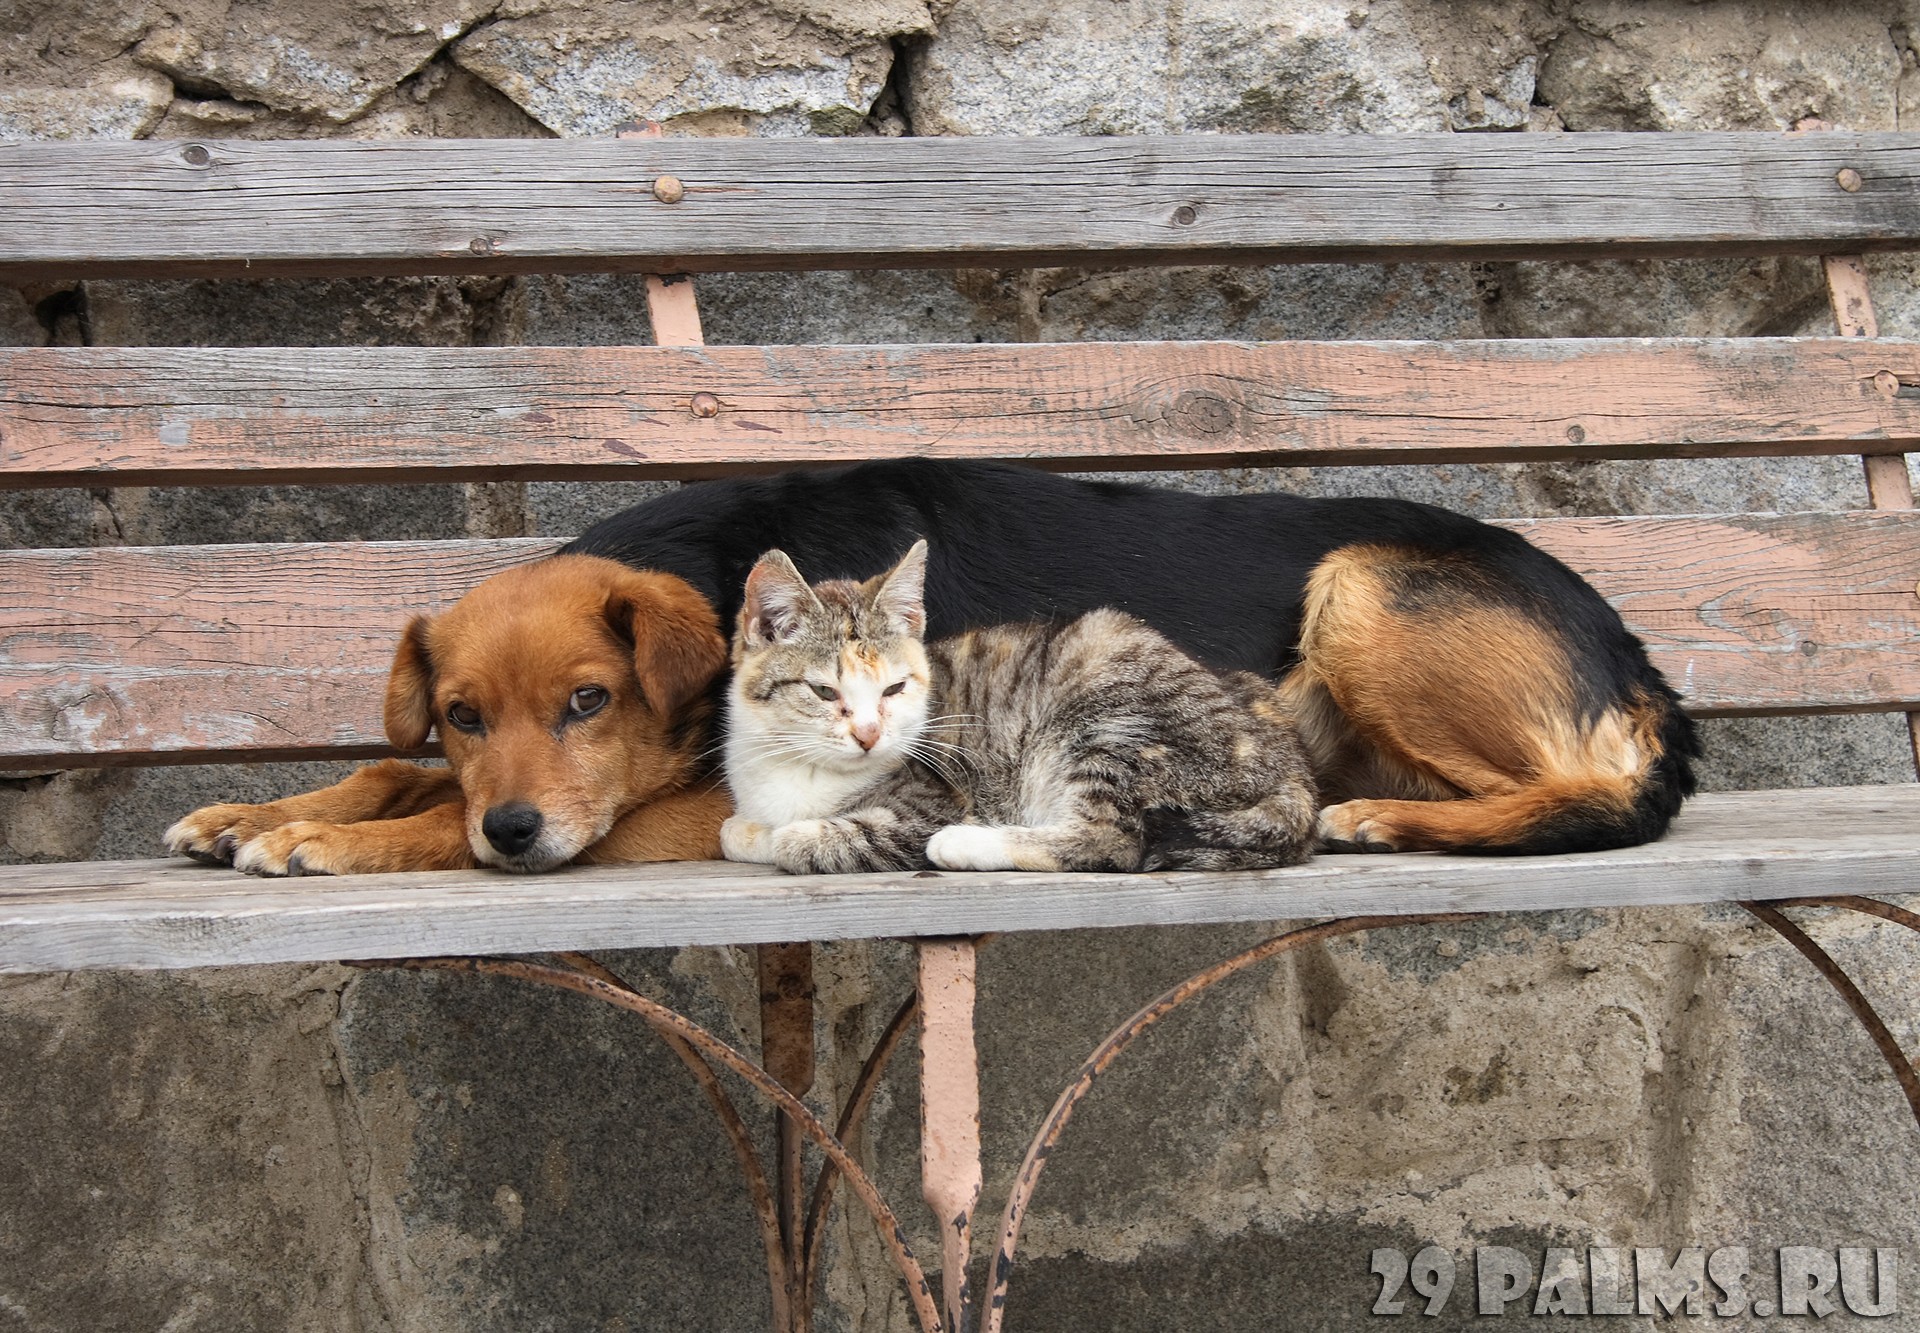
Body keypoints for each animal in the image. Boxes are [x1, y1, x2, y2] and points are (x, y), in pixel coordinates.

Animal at [721, 541, 1320, 875]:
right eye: (825, 692)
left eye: (894, 689)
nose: (869, 734)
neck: (799, 769)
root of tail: (1294, 777)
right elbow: (736, 831)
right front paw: (752, 830)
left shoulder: (932, 799)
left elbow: (806, 839)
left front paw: (786, 835)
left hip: (1112, 715)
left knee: (1111, 840)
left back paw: (966, 845)